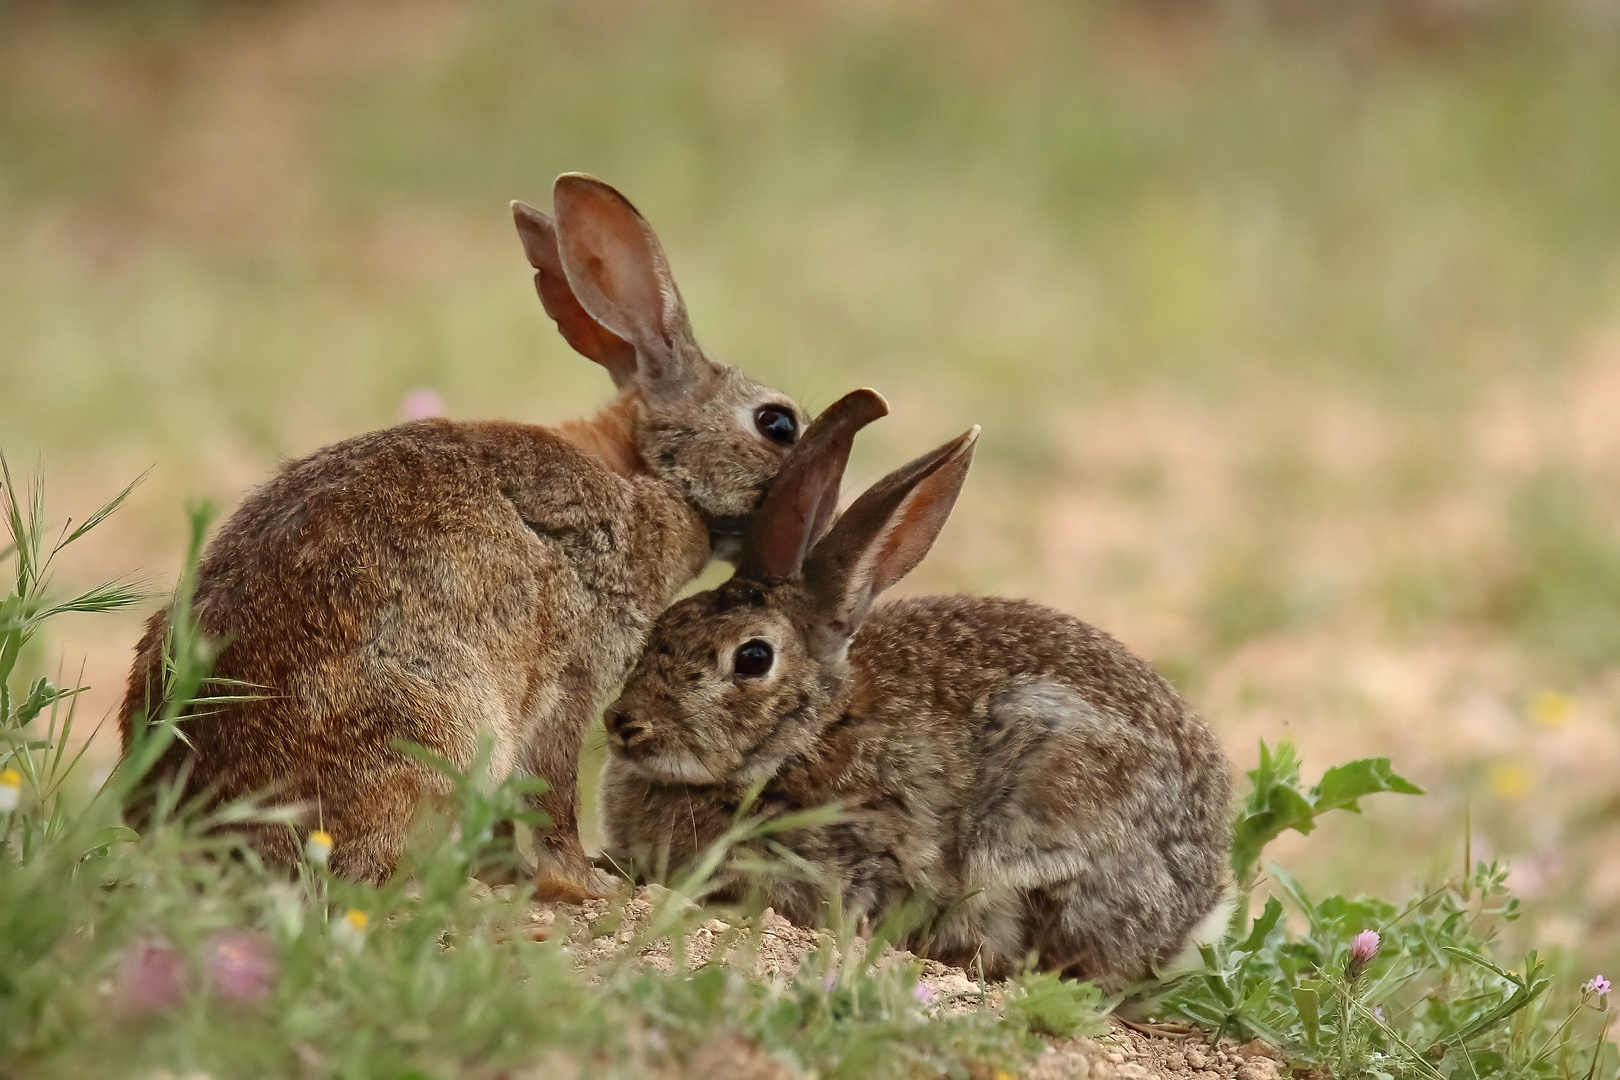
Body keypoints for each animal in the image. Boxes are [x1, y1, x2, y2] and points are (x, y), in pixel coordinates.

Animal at [119, 173, 816, 893]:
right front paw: (587, 884)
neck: (649, 472)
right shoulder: (572, 678)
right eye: (777, 424)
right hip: (441, 723)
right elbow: (552, 793)